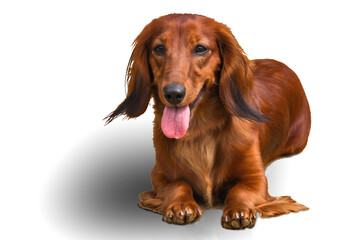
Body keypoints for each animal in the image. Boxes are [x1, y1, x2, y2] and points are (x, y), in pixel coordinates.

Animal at [104, 12, 310, 229]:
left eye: (200, 48)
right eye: (159, 48)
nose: (173, 93)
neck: (199, 131)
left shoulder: (256, 178)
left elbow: (239, 191)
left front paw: (239, 211)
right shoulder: (159, 175)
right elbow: (179, 184)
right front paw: (182, 206)